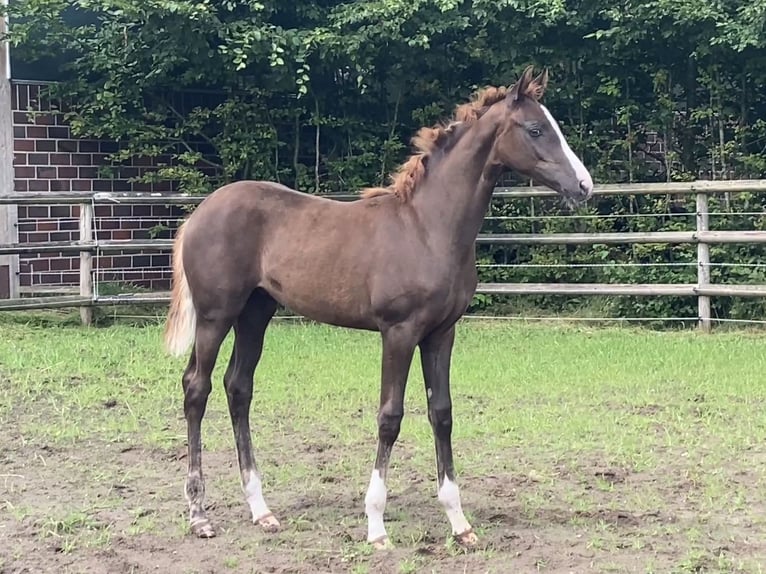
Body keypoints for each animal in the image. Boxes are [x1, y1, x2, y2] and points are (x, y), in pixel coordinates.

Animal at [164, 65, 592, 552]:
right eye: (536, 129)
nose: (584, 186)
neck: (428, 228)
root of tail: (199, 213)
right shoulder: (399, 332)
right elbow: (390, 417)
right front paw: (376, 526)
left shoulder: (442, 333)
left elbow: (442, 414)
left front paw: (460, 524)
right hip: (216, 316)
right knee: (196, 388)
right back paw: (199, 515)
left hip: (256, 313)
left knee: (238, 388)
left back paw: (262, 511)